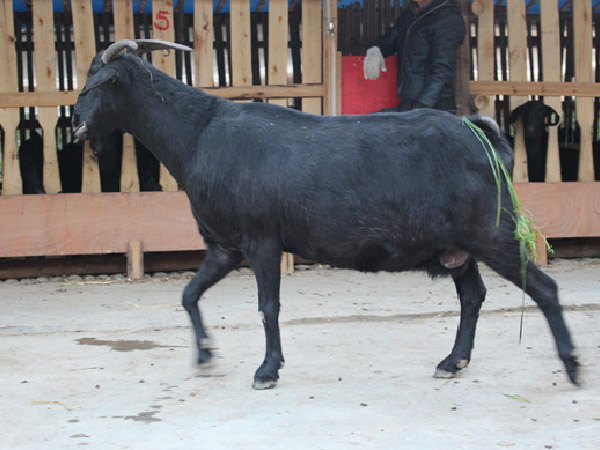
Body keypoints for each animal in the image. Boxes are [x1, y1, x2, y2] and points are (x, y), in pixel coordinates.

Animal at [72, 39, 580, 389]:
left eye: (101, 81)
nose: (75, 122)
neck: (199, 133)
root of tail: (481, 133)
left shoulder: (261, 239)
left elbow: (268, 306)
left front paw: (267, 370)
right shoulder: (224, 247)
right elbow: (189, 295)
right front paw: (205, 355)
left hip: (492, 232)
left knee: (544, 288)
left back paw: (572, 366)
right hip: (458, 247)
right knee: (473, 295)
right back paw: (452, 361)